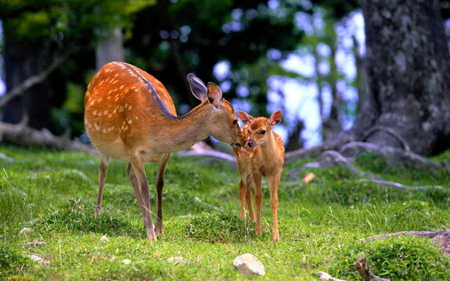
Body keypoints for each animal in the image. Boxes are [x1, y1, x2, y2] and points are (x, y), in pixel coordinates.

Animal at [82, 61, 241, 241]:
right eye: (235, 120)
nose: (243, 141)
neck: (156, 132)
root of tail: (107, 65)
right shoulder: (133, 147)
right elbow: (145, 187)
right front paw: (151, 235)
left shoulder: (165, 154)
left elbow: (159, 185)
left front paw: (159, 228)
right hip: (99, 141)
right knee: (103, 170)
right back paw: (98, 214)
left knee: (129, 172)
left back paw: (145, 220)